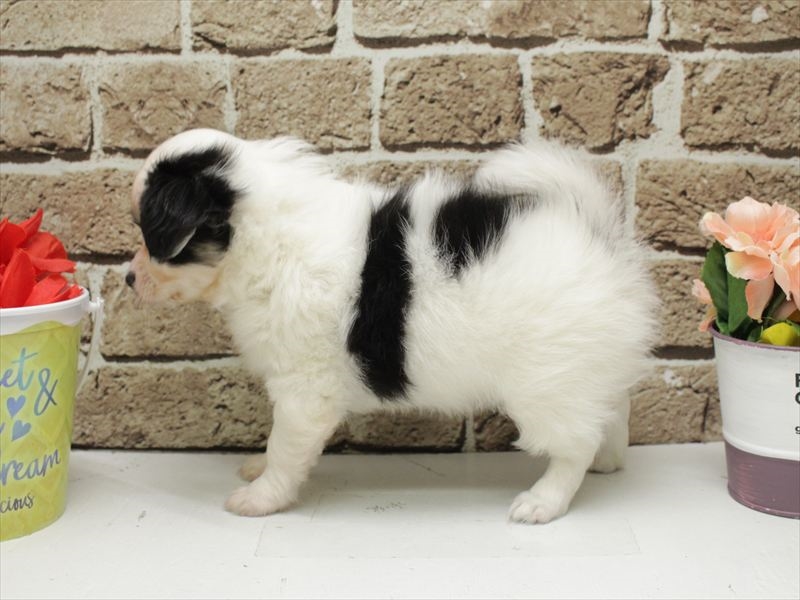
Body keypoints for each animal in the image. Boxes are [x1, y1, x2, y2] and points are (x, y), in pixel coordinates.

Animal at [127, 128, 658, 524]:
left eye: (150, 237)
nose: (129, 279)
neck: (268, 243)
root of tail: (599, 237)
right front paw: (258, 468)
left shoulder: (305, 390)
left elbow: (285, 446)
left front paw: (262, 497)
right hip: (583, 368)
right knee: (611, 409)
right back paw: (609, 461)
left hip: (546, 381)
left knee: (574, 444)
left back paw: (545, 500)